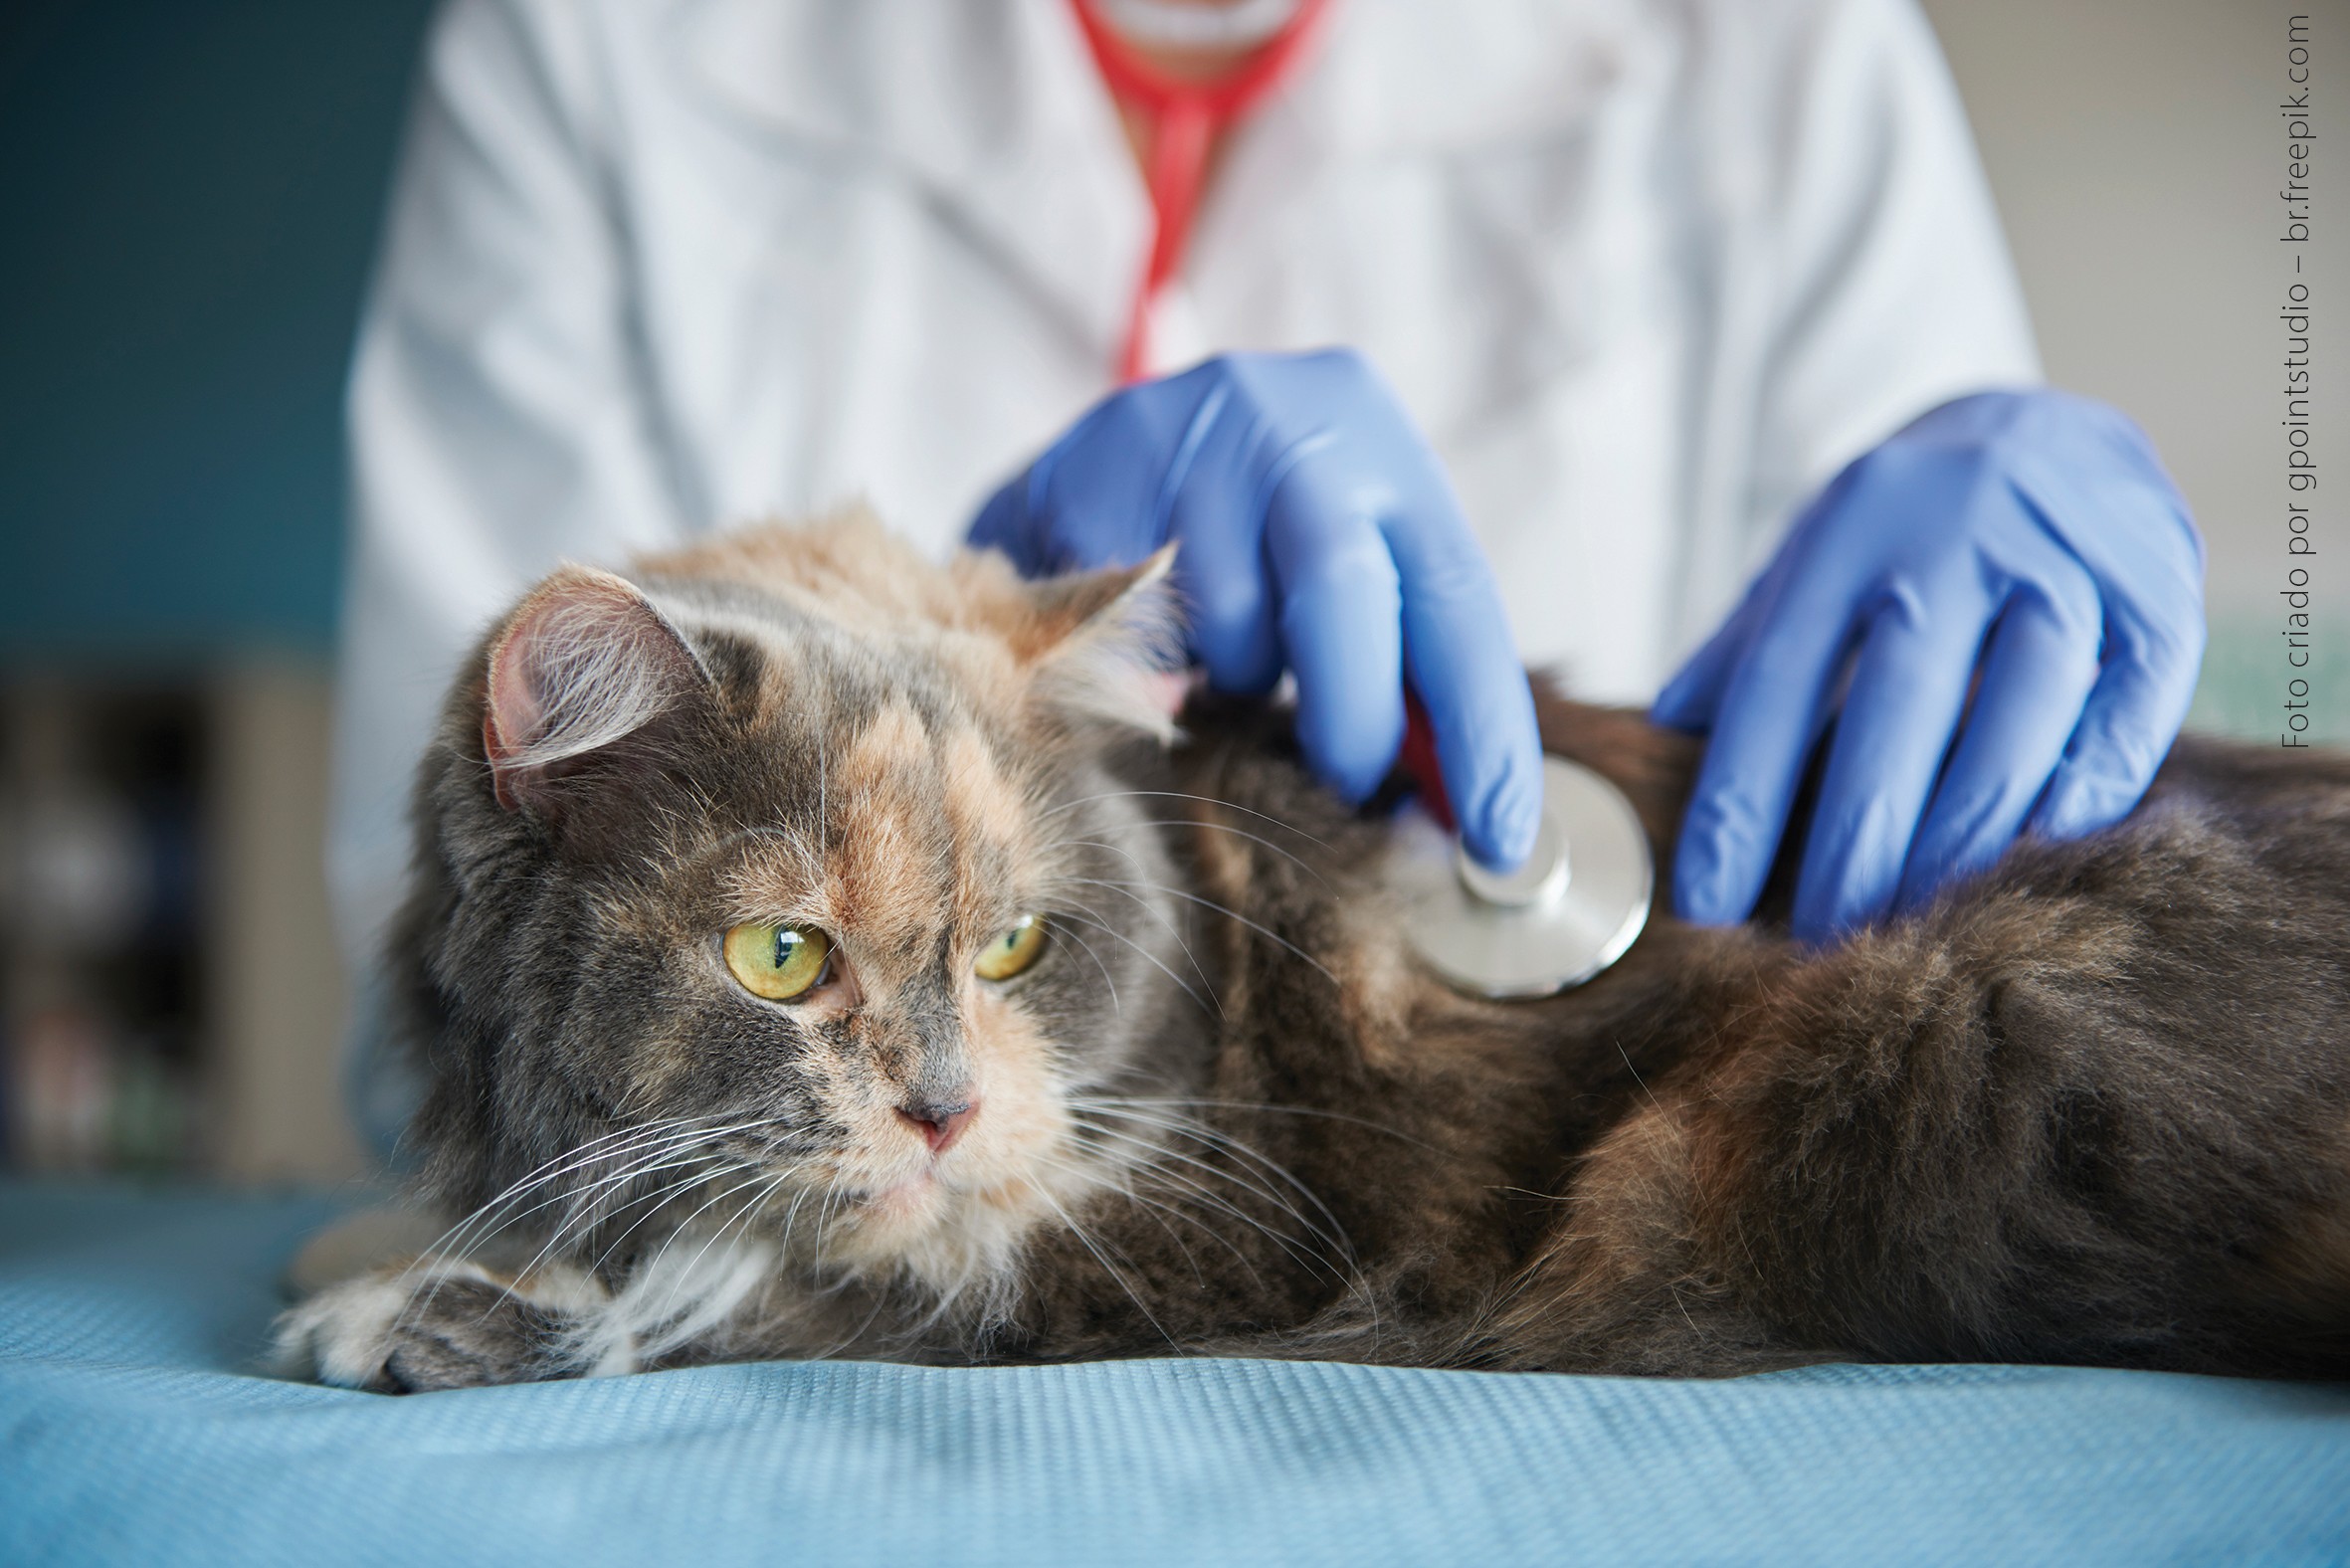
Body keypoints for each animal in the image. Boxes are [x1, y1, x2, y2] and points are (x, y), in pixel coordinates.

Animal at [280, 516, 2350, 1401]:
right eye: (781, 957)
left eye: (1016, 945)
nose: (943, 1111)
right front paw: (389, 1247)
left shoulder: (1214, 1223)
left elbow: (776, 1279)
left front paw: (422, 1305)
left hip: (1909, 1049)